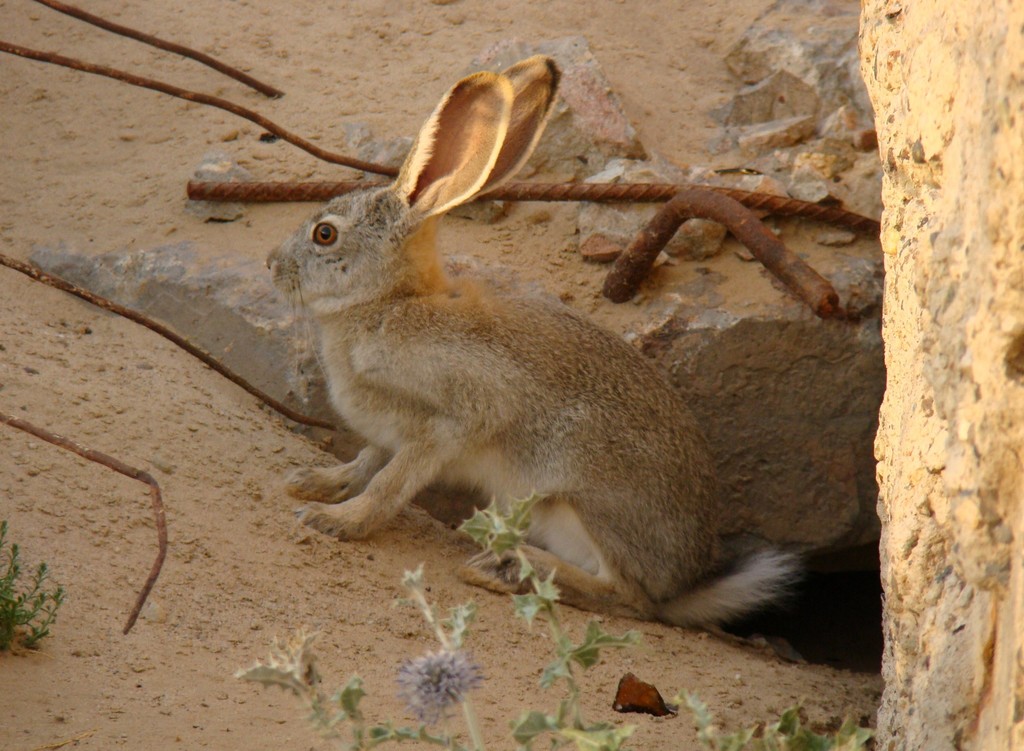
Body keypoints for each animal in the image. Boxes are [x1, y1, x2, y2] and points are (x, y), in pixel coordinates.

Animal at [267, 55, 797, 627]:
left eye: (324, 235)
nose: (271, 264)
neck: (389, 302)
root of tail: (684, 583)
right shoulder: (388, 433)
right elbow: (365, 462)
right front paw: (314, 483)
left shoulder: (448, 421)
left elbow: (391, 483)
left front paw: (333, 521)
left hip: (579, 504)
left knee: (630, 598)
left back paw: (503, 568)